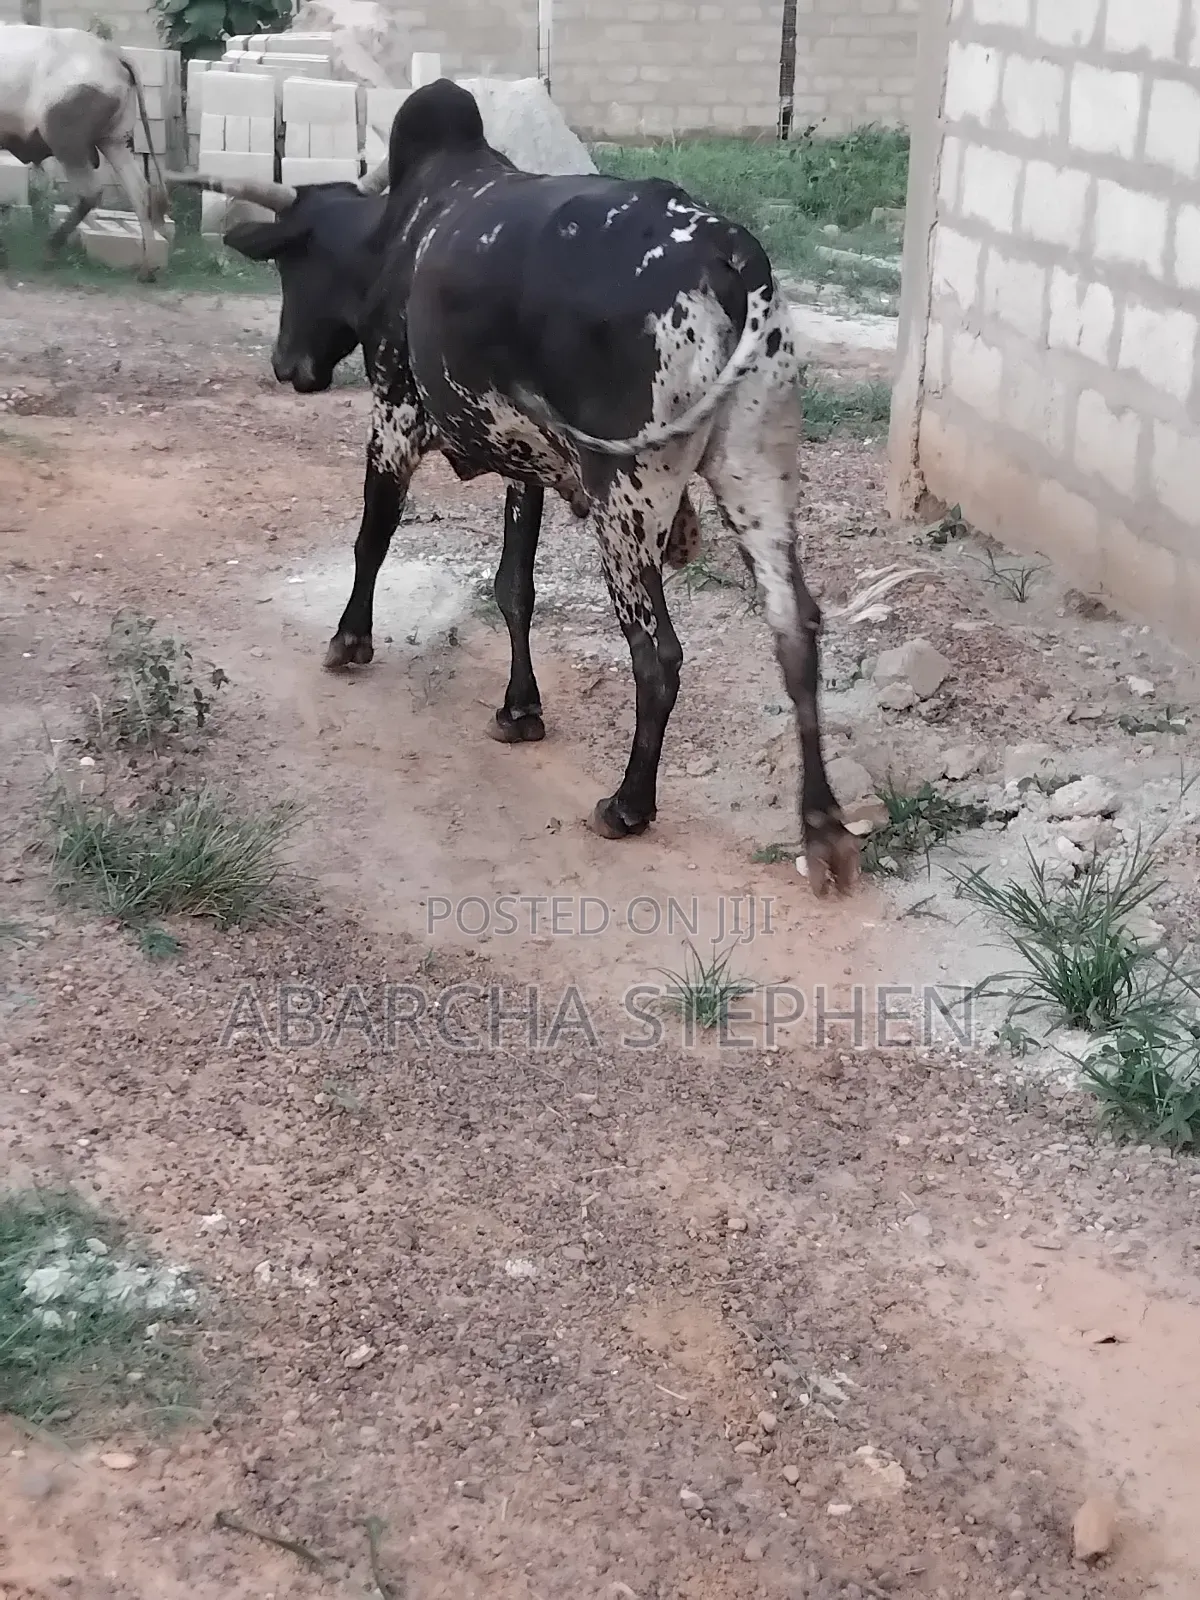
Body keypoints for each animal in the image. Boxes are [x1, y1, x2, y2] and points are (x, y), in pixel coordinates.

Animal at [0, 24, 169, 281]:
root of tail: (112, 53)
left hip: (67, 142)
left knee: (91, 192)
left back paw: (50, 250)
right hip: (113, 142)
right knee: (140, 192)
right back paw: (146, 270)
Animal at [170, 80, 859, 894]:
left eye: (289, 266)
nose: (287, 366)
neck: (396, 237)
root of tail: (729, 254)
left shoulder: (393, 416)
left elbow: (373, 538)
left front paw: (349, 639)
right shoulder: (524, 465)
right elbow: (514, 588)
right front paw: (519, 710)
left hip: (630, 499)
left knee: (657, 653)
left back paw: (629, 804)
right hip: (757, 472)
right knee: (795, 630)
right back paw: (823, 830)